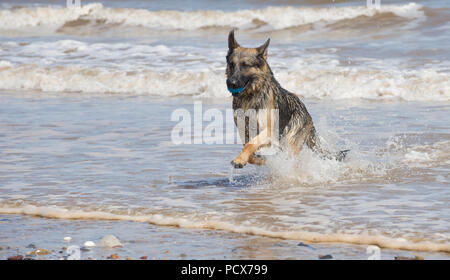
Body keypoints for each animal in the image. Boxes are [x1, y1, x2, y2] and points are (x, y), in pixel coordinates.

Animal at [225, 30, 348, 168]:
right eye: (231, 64)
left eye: (245, 65)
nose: (231, 83)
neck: (251, 95)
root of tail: (306, 112)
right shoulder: (244, 132)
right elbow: (248, 148)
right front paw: (256, 160)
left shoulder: (268, 132)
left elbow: (250, 144)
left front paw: (240, 159)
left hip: (290, 140)